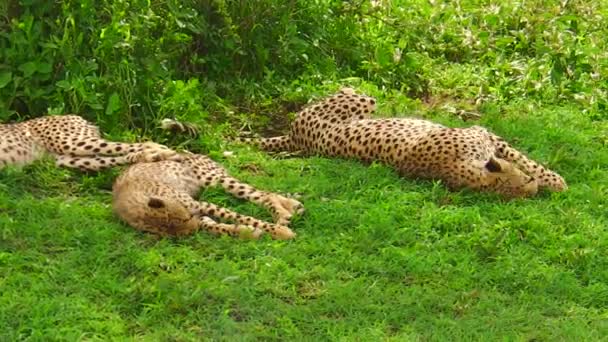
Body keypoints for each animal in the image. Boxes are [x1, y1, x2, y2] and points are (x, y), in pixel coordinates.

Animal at [0, 115, 179, 170]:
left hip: (69, 142)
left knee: (131, 145)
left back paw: (164, 151)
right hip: (64, 159)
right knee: (112, 158)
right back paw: (151, 156)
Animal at [61, 151, 304, 239]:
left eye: (185, 218)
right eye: (183, 230)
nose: (193, 224)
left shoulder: (201, 204)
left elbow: (243, 216)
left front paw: (280, 232)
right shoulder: (201, 214)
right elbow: (219, 226)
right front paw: (245, 232)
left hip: (214, 180)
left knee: (262, 194)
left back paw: (284, 214)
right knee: (263, 193)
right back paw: (291, 207)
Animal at [240, 88, 568, 198]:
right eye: (523, 181)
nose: (529, 184)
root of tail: (295, 137)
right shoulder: (481, 132)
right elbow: (522, 156)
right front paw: (555, 180)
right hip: (361, 98)